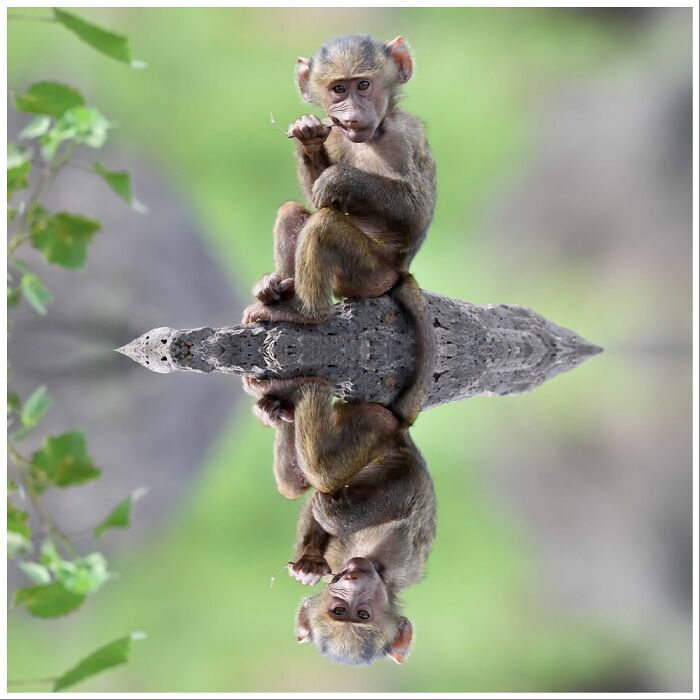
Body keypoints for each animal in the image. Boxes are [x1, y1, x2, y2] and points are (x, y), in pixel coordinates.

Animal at [242, 34, 436, 325]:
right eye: (339, 89)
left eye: (363, 85)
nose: (352, 117)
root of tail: (399, 273)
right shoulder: (334, 134)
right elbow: (315, 196)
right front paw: (307, 133)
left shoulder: (404, 136)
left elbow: (416, 213)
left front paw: (338, 179)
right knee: (291, 211)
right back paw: (277, 289)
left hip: (370, 272)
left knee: (323, 226)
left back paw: (305, 312)